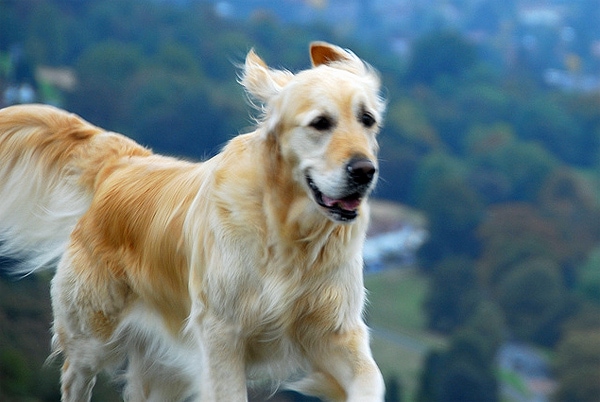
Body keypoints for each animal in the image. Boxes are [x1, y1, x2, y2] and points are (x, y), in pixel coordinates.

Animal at [0, 42, 384, 400]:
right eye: (320, 123)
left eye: (367, 119)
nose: (365, 171)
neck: (286, 232)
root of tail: (123, 163)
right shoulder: (221, 334)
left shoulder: (336, 332)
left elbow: (371, 380)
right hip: (91, 337)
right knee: (75, 376)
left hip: (163, 367)